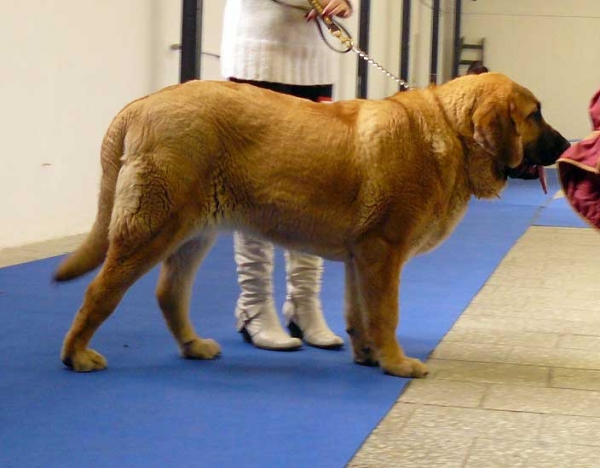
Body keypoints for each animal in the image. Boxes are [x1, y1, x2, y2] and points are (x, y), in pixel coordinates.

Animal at [54, 75, 568, 378]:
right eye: (535, 115)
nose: (566, 145)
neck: (451, 134)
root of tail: (143, 103)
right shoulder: (383, 251)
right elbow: (386, 313)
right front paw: (397, 363)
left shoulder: (362, 256)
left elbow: (360, 312)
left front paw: (369, 355)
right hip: (152, 226)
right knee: (100, 291)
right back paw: (76, 354)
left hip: (194, 231)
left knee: (168, 292)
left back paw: (193, 345)